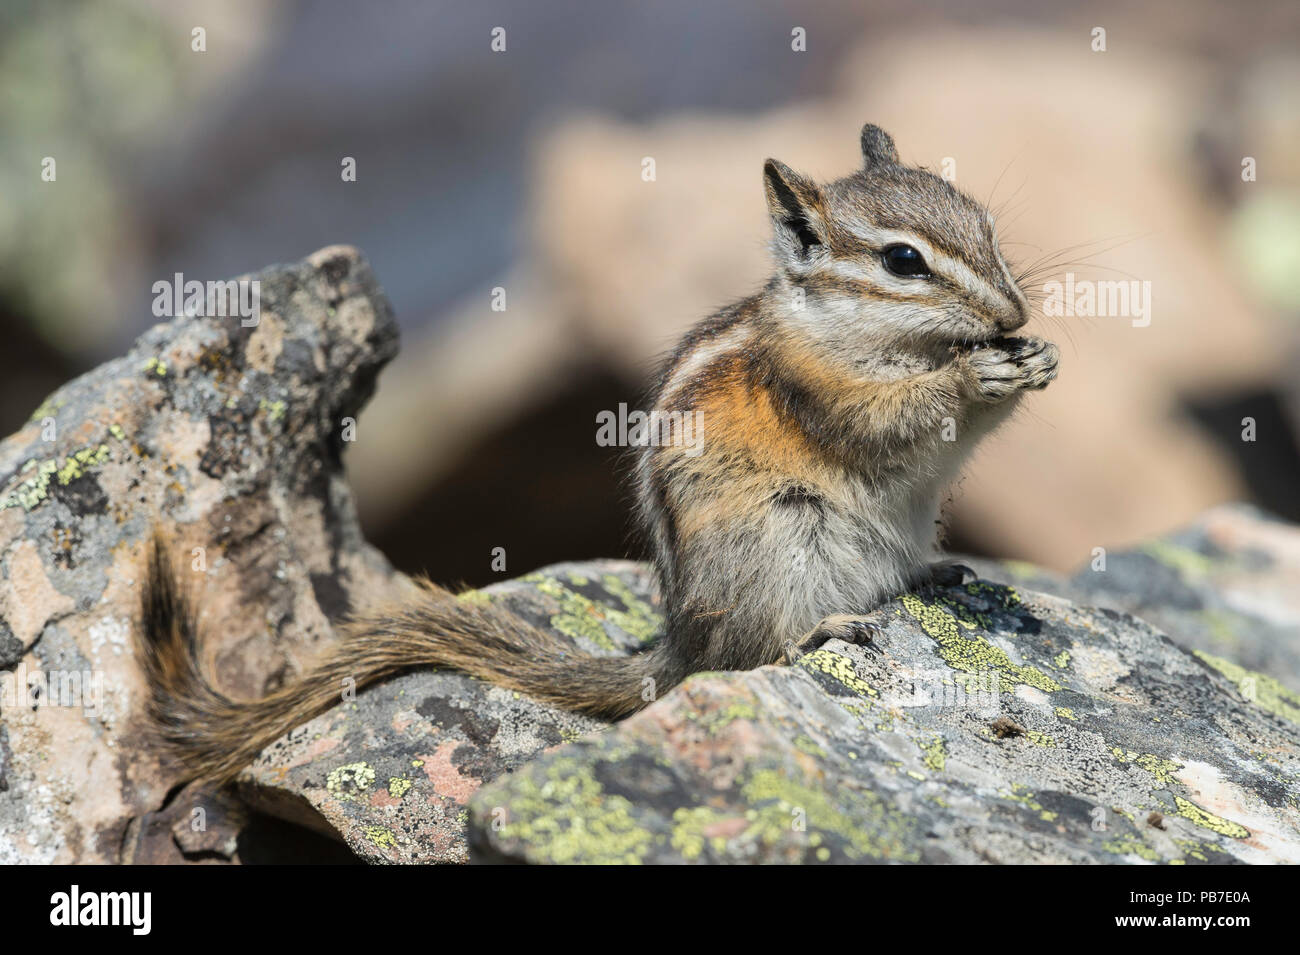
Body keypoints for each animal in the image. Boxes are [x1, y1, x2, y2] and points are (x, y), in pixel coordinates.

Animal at [138, 124, 1058, 782]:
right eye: (903, 261)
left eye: (982, 222)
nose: (1013, 311)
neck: (860, 333)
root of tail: (678, 638)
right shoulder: (823, 392)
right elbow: (892, 421)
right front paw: (976, 373)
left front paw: (1035, 358)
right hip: (776, 539)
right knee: (743, 654)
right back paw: (821, 627)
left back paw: (935, 571)